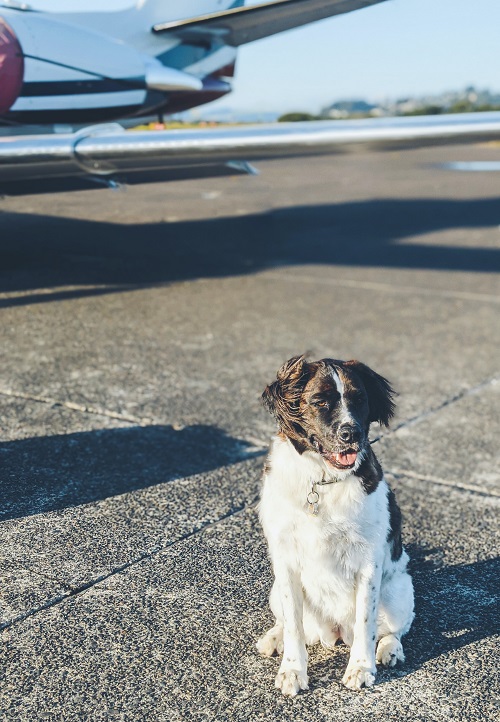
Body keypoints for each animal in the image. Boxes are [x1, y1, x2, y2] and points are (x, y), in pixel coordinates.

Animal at [258, 352, 414, 692]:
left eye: (359, 399)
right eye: (320, 401)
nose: (351, 433)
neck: (323, 480)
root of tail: (335, 632)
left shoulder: (369, 562)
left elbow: (366, 621)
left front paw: (361, 667)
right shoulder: (285, 559)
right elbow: (293, 624)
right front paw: (292, 670)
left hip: (399, 592)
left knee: (393, 630)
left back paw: (390, 650)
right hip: (275, 590)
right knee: (285, 621)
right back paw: (273, 637)